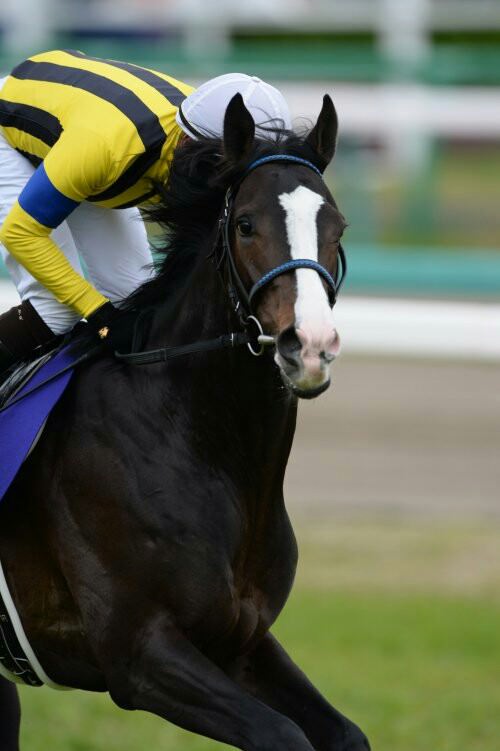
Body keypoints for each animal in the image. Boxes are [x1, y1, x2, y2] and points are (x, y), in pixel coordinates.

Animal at [0, 93, 370, 751]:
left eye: (337, 227)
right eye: (245, 223)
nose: (309, 346)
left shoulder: (241, 642)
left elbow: (344, 733)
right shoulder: (141, 655)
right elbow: (281, 735)